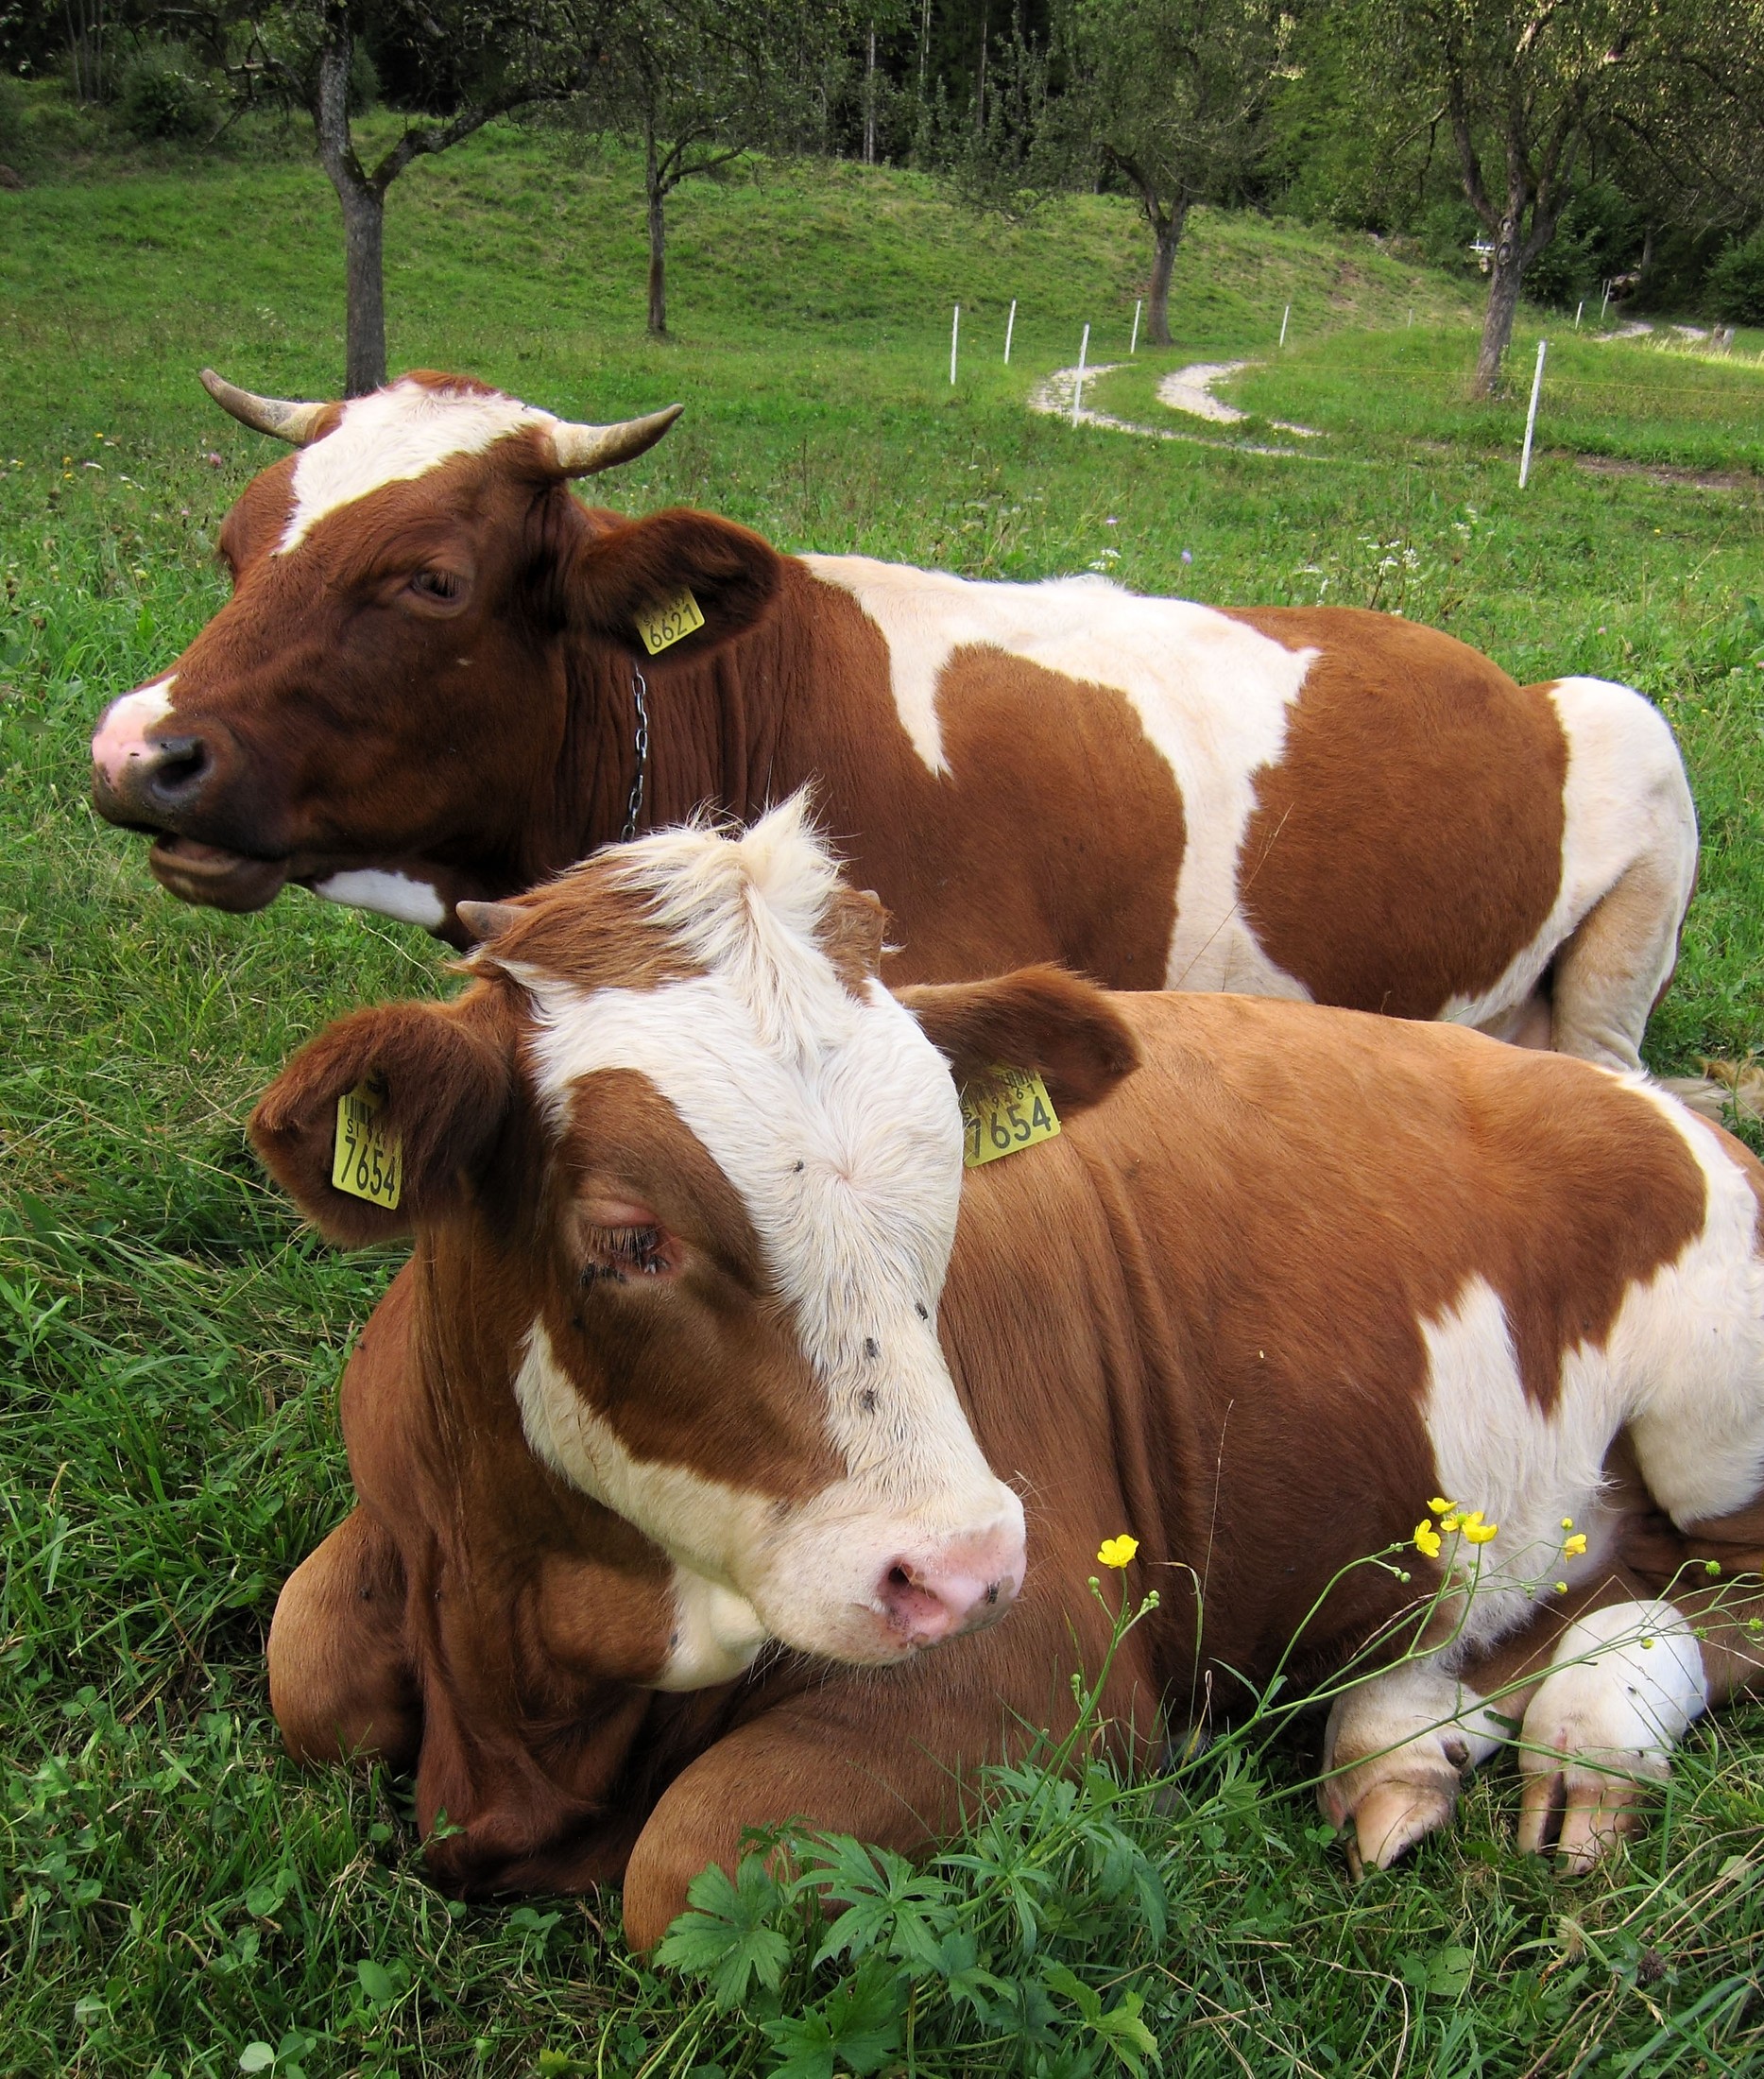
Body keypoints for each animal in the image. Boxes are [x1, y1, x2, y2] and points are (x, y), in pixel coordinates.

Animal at [254, 801, 1764, 1951]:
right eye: (629, 1237)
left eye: (945, 1185)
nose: (965, 1569)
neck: (532, 1661)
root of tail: (1650, 1093)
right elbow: (303, 1664)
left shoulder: (1046, 1681)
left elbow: (689, 1859)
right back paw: (1401, 1739)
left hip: (1712, 1409)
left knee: (1709, 1594)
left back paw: (1587, 1734)